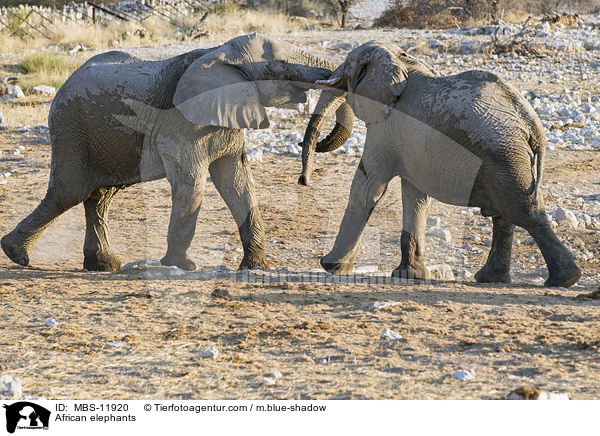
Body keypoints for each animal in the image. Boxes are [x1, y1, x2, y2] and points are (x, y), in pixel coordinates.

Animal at [1, 34, 352, 272]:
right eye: (279, 65)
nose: (303, 179)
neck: (218, 53)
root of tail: (65, 82)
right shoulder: (181, 123)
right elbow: (192, 181)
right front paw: (181, 265)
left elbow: (238, 182)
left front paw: (257, 267)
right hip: (72, 128)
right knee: (69, 192)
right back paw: (16, 255)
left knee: (98, 196)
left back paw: (102, 265)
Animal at [300, 41, 580, 290]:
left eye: (347, 67)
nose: (303, 180)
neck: (402, 61)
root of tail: (532, 123)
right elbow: (415, 197)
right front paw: (409, 276)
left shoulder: (387, 128)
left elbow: (367, 188)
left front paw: (331, 266)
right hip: (509, 157)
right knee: (507, 214)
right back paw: (494, 278)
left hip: (502, 153)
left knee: (522, 211)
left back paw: (564, 279)